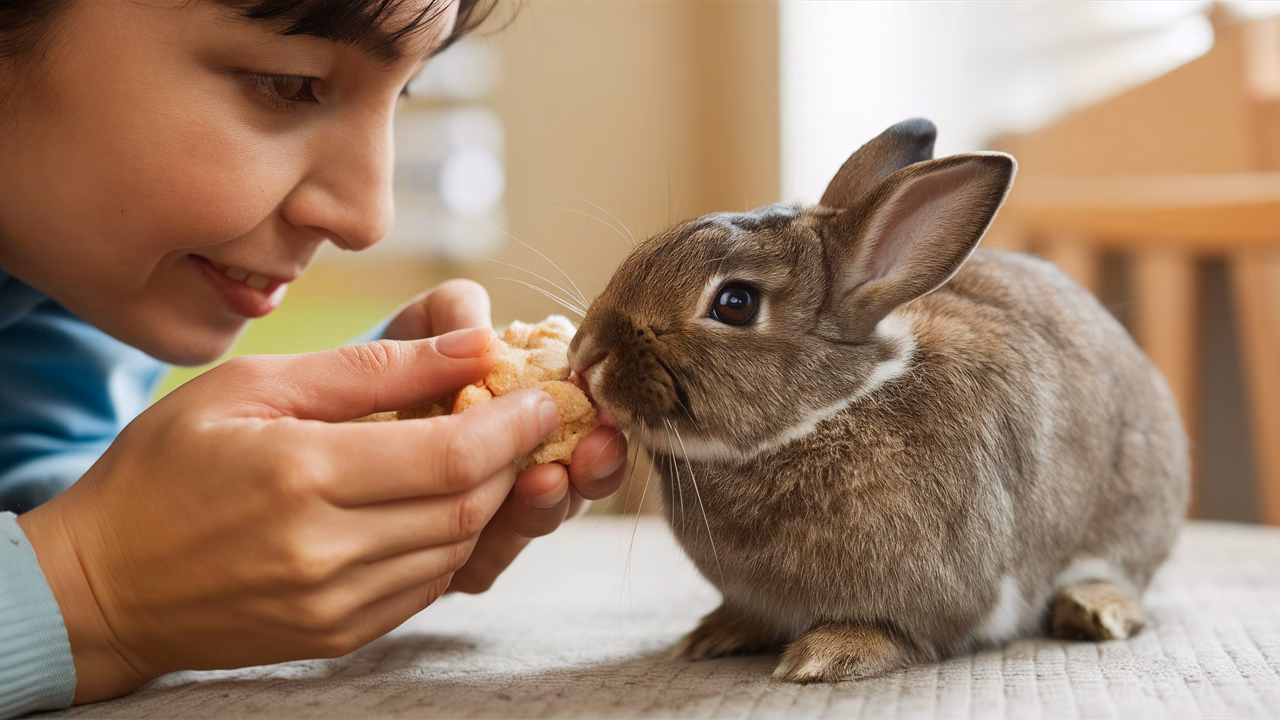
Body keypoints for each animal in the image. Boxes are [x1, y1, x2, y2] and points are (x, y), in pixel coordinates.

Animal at [566, 118, 1189, 683]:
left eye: (735, 303)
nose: (585, 356)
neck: (829, 410)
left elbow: (901, 633)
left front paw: (826, 656)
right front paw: (713, 635)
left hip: (1128, 518)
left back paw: (1093, 611)